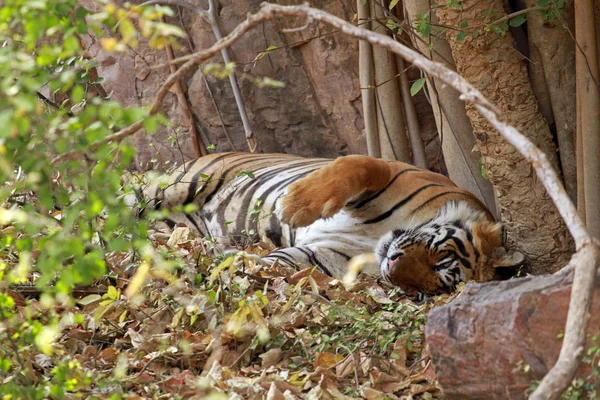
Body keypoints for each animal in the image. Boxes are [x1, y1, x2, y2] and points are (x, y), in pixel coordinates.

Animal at [132, 152, 524, 296]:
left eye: (429, 288)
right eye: (442, 259)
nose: (393, 267)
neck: (374, 241)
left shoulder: (322, 255)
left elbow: (278, 263)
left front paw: (236, 264)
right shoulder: (387, 170)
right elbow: (357, 166)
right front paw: (295, 203)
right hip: (173, 186)